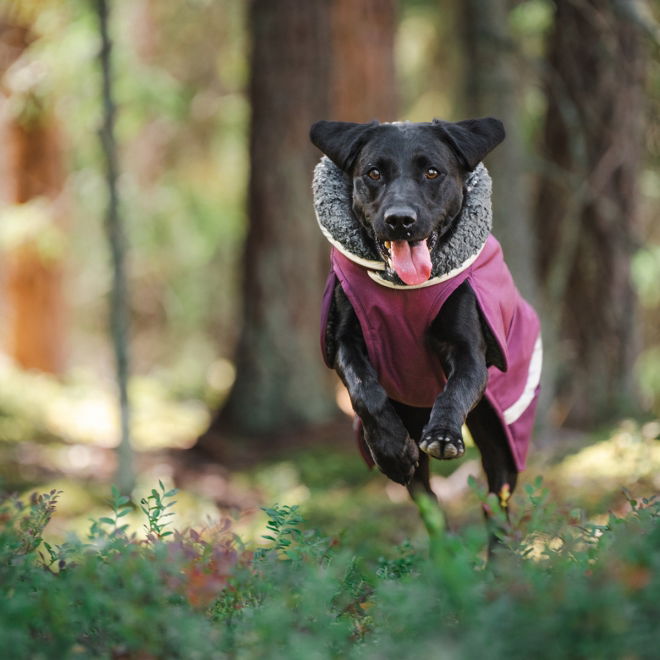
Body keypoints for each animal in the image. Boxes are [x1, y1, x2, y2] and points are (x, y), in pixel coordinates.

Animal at [310, 118, 540, 532]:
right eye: (373, 173)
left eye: (432, 172)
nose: (400, 220)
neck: (403, 290)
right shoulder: (344, 341)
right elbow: (364, 390)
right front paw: (390, 450)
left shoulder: (469, 352)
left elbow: (455, 389)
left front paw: (444, 434)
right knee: (428, 502)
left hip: (500, 435)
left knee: (495, 502)